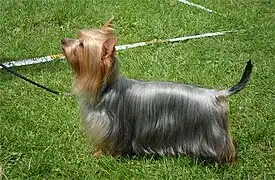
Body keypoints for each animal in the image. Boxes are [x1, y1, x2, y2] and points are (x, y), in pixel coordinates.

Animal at [61, 18, 253, 165]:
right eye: (78, 38)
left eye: (81, 45)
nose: (63, 40)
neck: (106, 87)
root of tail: (217, 94)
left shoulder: (111, 129)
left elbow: (110, 146)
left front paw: (100, 155)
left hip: (212, 133)